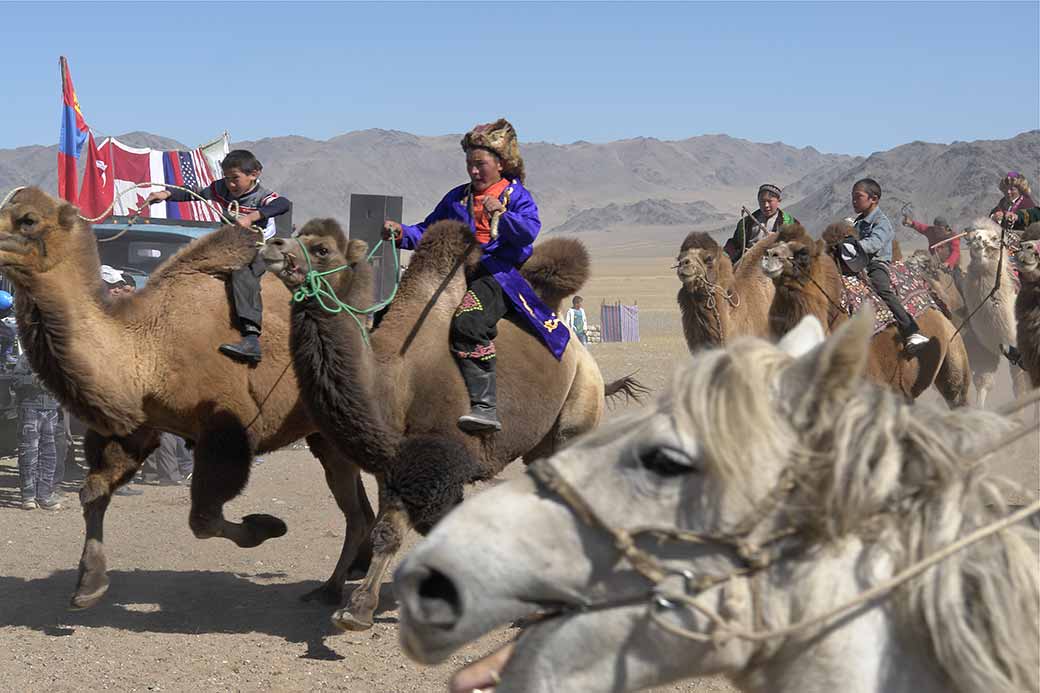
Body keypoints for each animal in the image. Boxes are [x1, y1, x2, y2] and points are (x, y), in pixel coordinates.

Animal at [0, 188, 375, 612]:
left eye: (28, 219)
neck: (148, 351)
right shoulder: (135, 428)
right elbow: (93, 492)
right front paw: (89, 584)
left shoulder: (226, 432)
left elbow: (204, 519)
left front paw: (268, 526)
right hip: (324, 435)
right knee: (360, 508)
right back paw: (353, 571)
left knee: (359, 510)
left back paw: (333, 588)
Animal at [261, 217, 638, 631]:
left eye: (323, 249)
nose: (273, 245)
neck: (391, 377)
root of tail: (578, 349)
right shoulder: (398, 463)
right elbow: (399, 527)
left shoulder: (433, 459)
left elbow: (394, 531)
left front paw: (357, 610)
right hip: (541, 442)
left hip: (578, 409)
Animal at [962, 219, 1030, 405]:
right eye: (971, 236)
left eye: (994, 238)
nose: (977, 238)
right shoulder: (990, 351)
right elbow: (983, 383)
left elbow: (1021, 390)